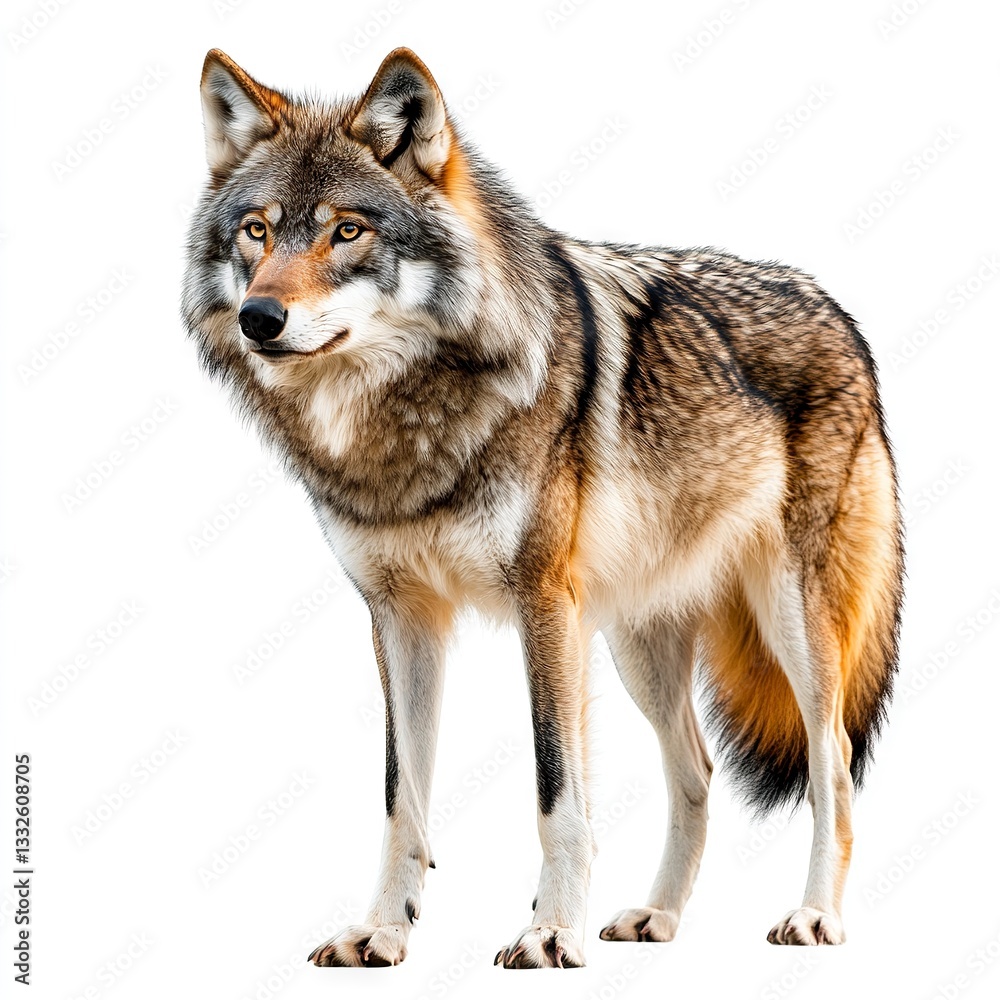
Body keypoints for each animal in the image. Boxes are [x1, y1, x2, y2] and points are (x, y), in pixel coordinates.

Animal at [182, 47, 903, 968]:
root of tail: (840, 312)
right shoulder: (400, 616)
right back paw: (657, 917)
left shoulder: (543, 604)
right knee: (697, 772)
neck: (404, 430)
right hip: (637, 646)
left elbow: (557, 790)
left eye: (347, 231)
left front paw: (550, 930)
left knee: (832, 761)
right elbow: (401, 796)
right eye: (258, 231)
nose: (259, 317)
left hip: (793, 627)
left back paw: (815, 917)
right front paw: (383, 931)